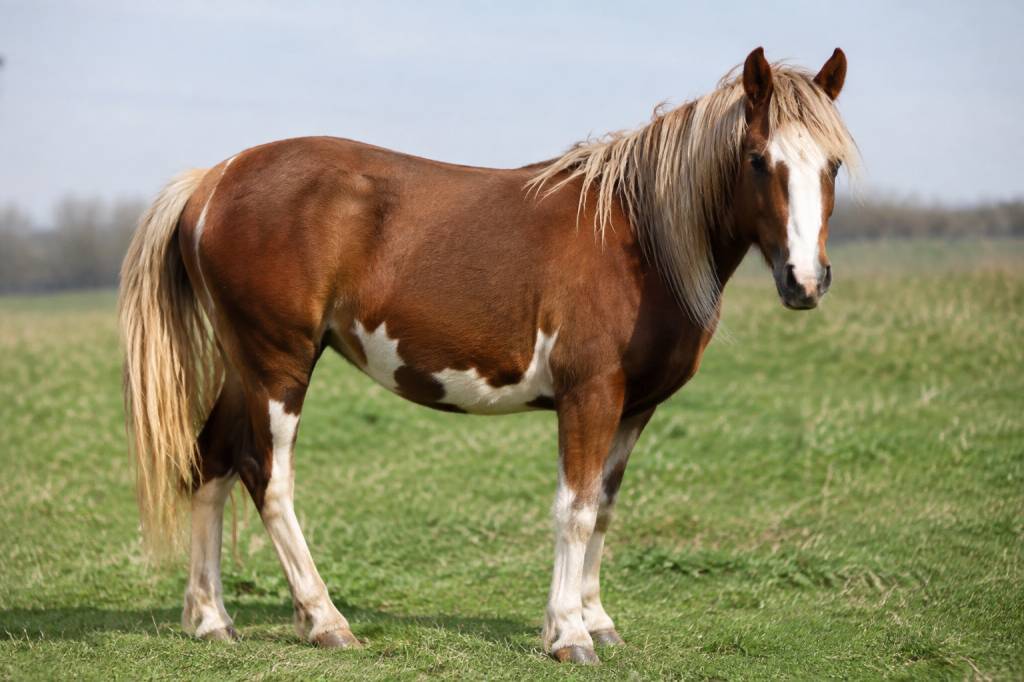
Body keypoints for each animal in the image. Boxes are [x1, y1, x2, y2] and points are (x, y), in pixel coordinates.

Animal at [118, 47, 858, 664]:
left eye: (832, 165)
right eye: (759, 159)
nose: (806, 281)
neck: (636, 238)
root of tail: (212, 181)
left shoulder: (634, 406)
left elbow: (605, 506)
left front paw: (597, 621)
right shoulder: (589, 395)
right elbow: (574, 508)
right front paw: (568, 634)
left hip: (243, 366)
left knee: (210, 463)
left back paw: (211, 619)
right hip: (279, 365)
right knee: (267, 478)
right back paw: (325, 620)